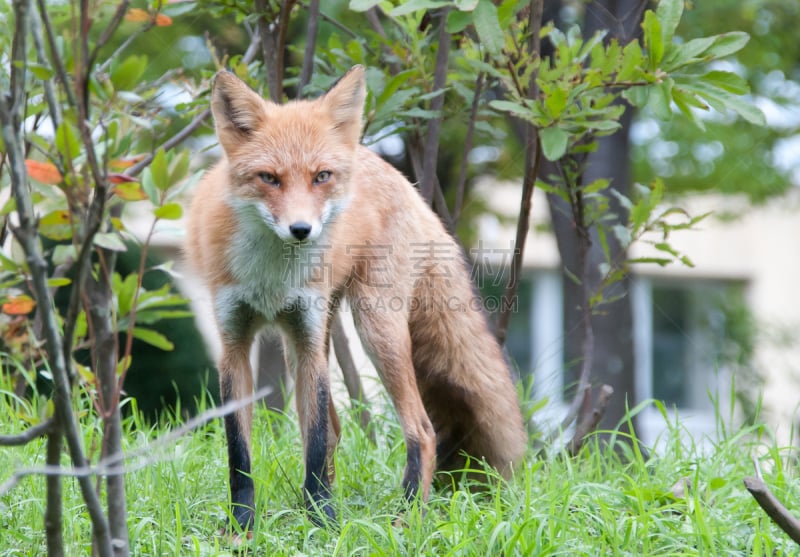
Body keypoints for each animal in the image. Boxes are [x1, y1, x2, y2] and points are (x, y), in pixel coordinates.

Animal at [185, 65, 528, 524]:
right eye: (269, 178)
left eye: (321, 177)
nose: (301, 229)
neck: (272, 276)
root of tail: (403, 180)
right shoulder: (235, 343)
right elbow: (239, 450)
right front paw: (244, 524)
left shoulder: (308, 339)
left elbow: (312, 443)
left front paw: (322, 523)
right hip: (307, 343)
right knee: (335, 427)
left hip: (375, 326)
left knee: (421, 430)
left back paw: (407, 518)